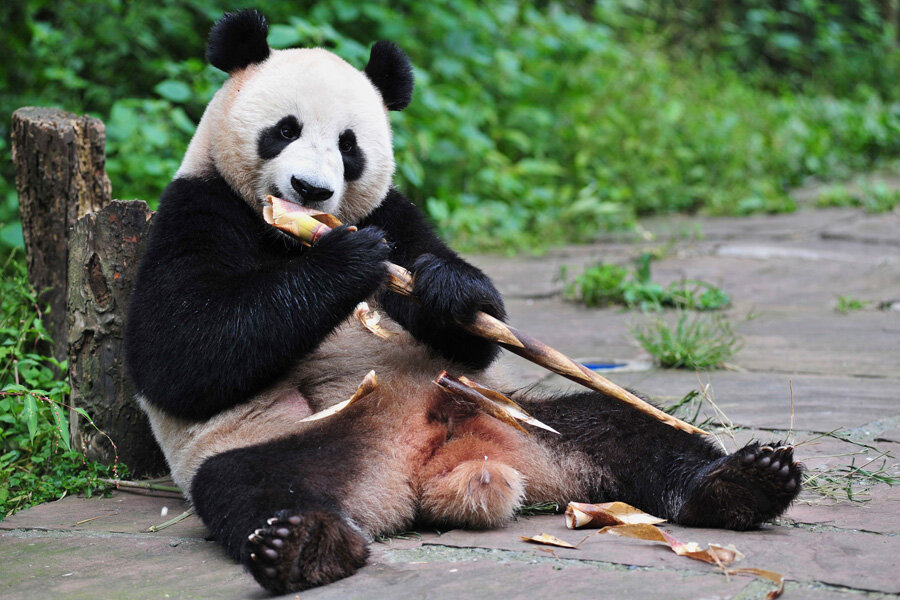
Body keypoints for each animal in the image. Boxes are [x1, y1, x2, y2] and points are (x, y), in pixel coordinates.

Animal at [125, 9, 800, 596]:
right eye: (284, 130)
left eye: (348, 146)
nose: (311, 190)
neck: (289, 235)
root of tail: (425, 471)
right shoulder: (196, 207)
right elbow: (180, 354)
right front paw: (348, 260)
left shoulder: (396, 210)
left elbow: (466, 315)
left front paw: (446, 289)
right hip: (285, 441)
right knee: (256, 488)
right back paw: (302, 548)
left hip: (513, 415)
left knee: (626, 428)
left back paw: (743, 482)